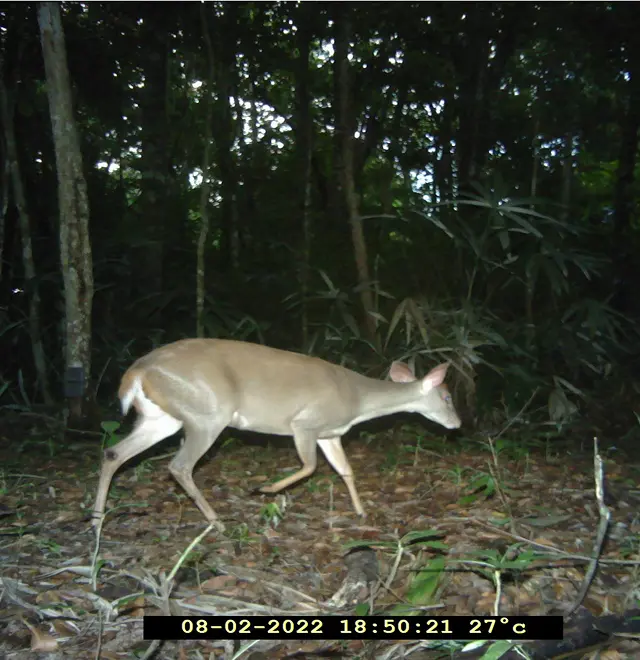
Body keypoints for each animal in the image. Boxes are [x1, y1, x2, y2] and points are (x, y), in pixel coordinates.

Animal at [92, 339, 461, 531]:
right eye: (447, 397)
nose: (457, 424)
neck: (357, 400)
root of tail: (136, 372)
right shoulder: (305, 423)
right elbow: (310, 466)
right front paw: (265, 489)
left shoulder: (330, 432)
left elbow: (345, 470)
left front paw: (360, 512)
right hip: (208, 413)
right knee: (179, 466)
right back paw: (217, 521)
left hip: (163, 417)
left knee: (114, 452)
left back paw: (96, 520)